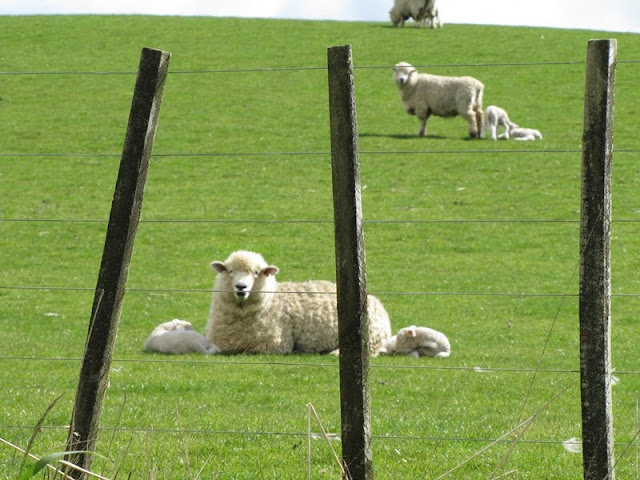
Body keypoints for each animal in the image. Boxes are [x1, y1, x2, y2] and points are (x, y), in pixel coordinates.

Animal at [205, 251, 392, 356]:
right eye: (230, 271)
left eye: (256, 272)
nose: (241, 287)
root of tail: (377, 302)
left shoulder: (274, 346)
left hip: (369, 337)